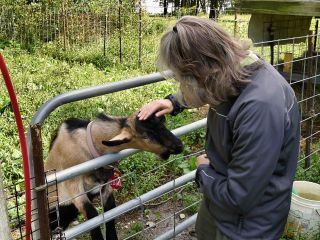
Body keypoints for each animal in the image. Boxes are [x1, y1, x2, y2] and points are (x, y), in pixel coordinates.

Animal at [46, 111, 184, 239]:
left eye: (163, 124)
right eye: (146, 135)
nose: (179, 146)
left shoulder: (105, 184)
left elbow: (110, 211)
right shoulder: (73, 185)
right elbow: (92, 214)